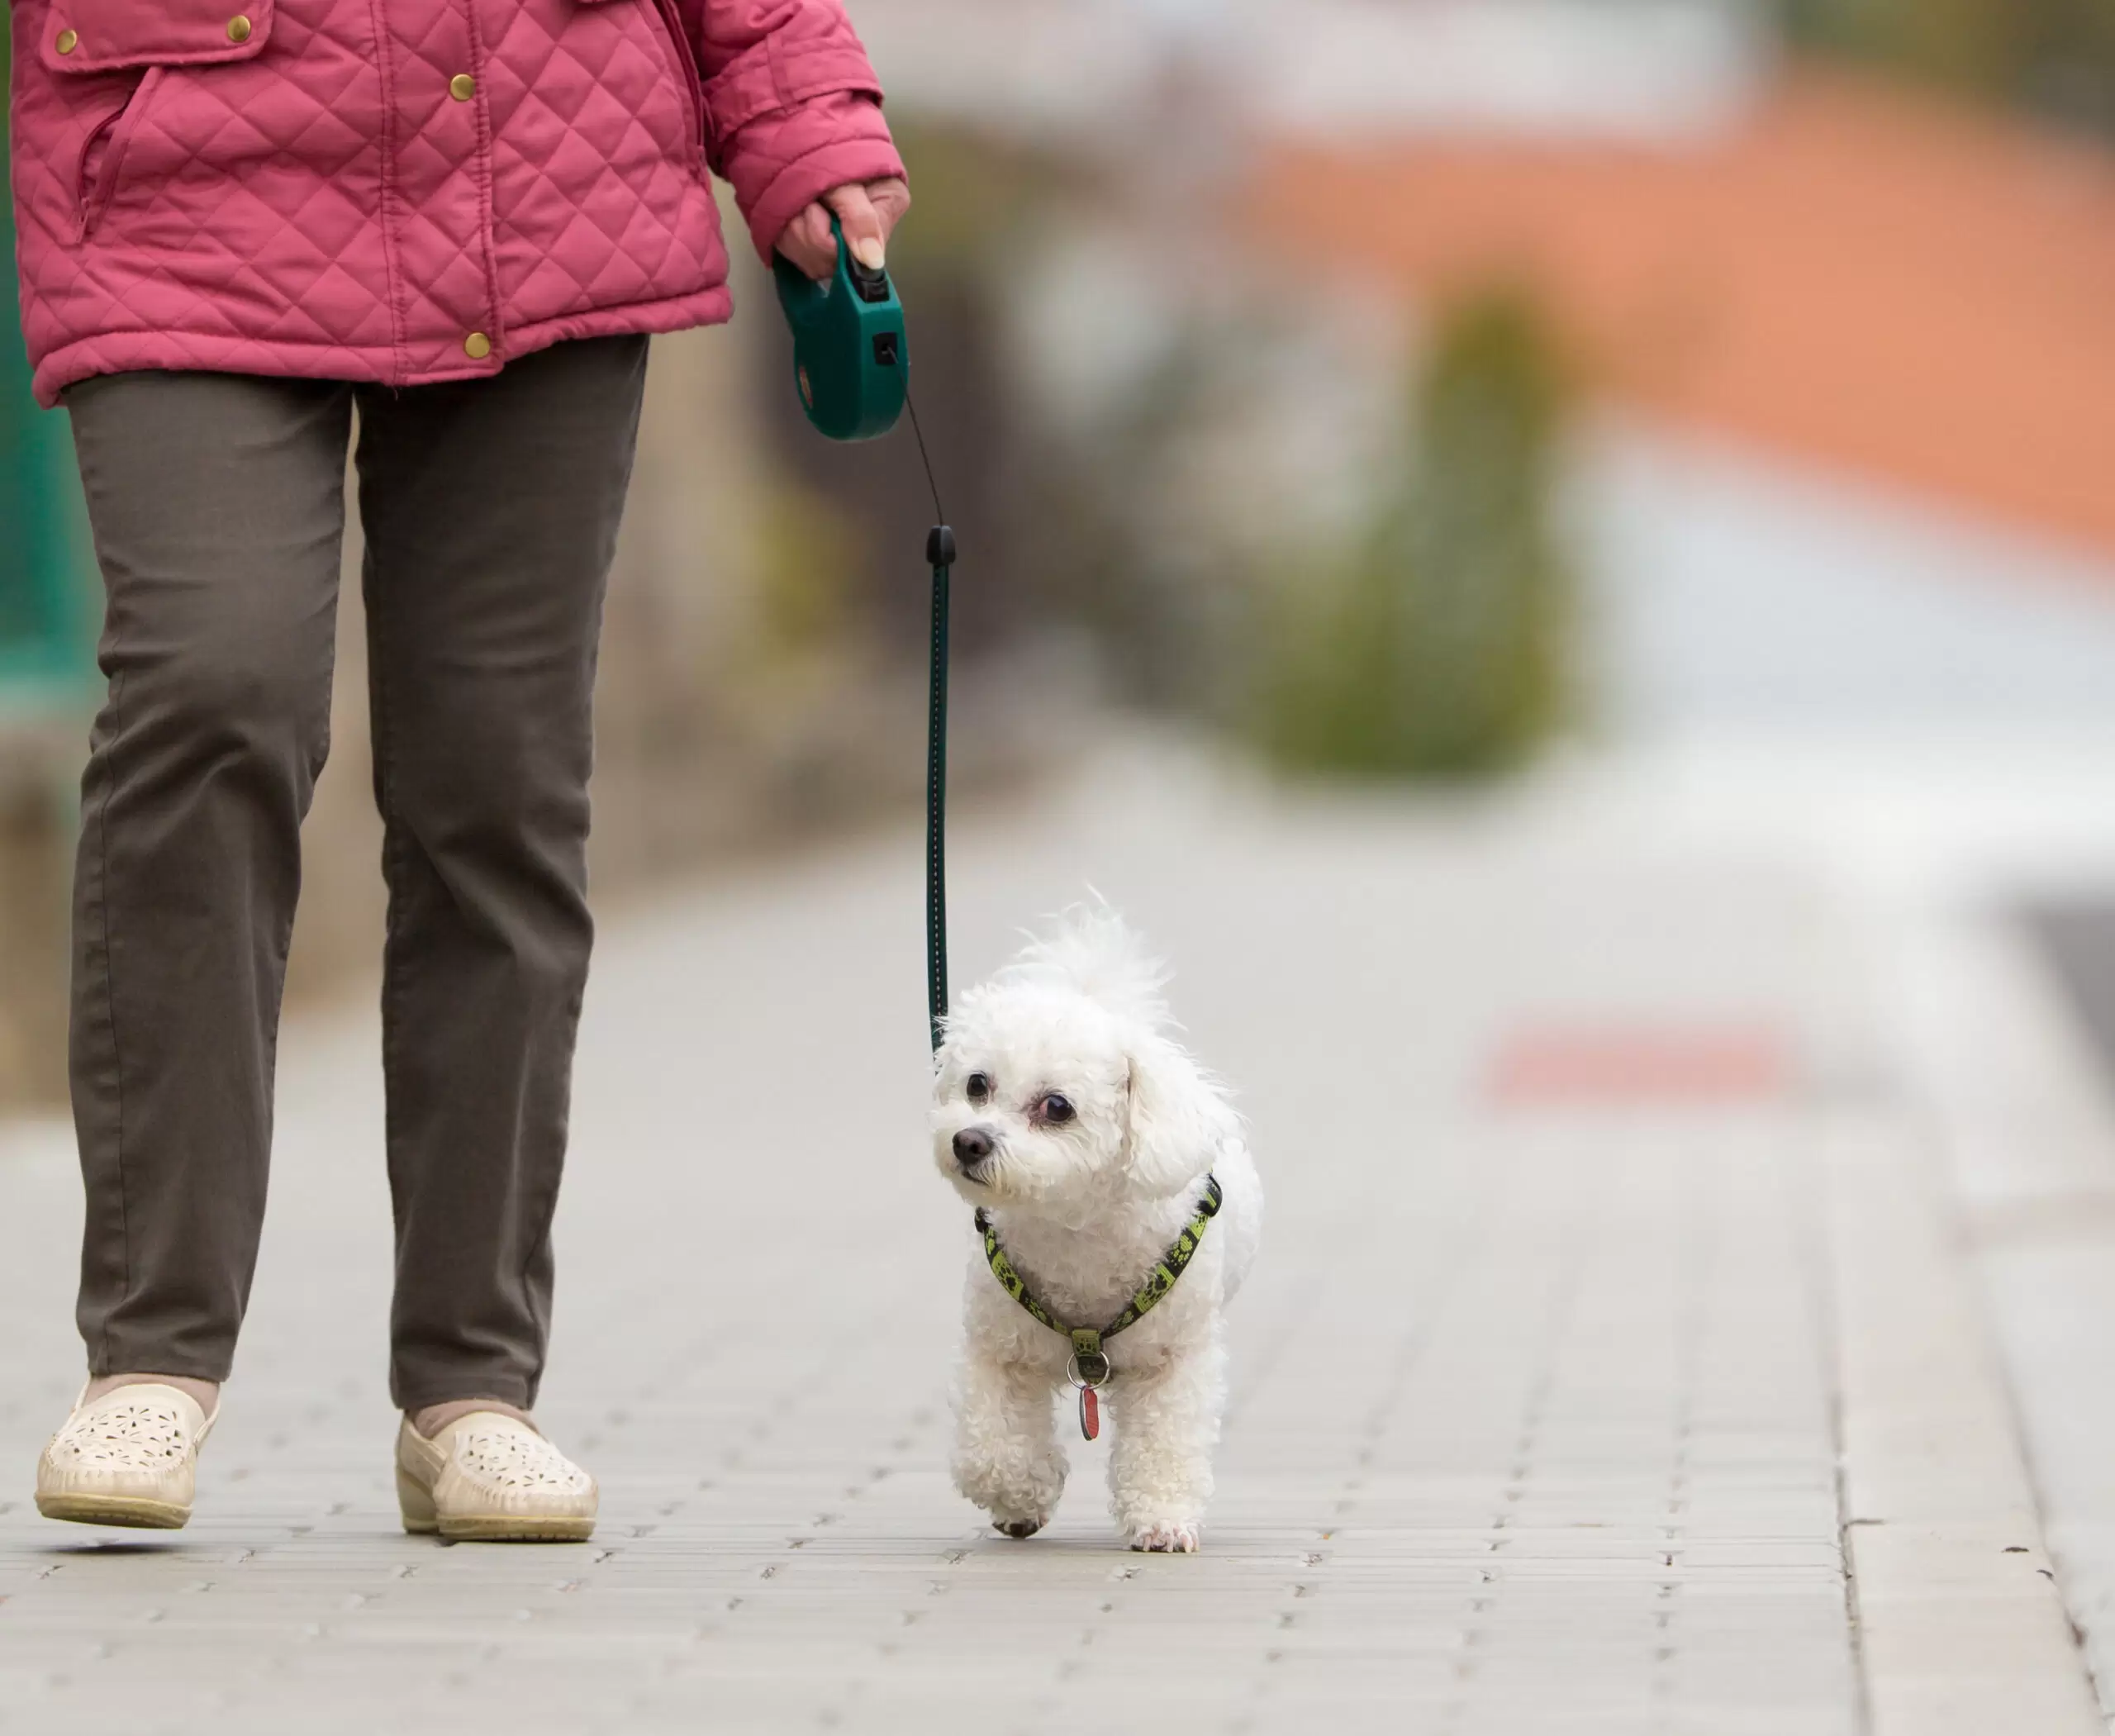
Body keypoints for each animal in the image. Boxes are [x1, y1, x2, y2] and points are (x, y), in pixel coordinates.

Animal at [926, 913, 1252, 1548]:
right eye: (977, 1085)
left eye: (1057, 1106)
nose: (968, 1141)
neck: (1074, 1230)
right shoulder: (997, 1348)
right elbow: (991, 1448)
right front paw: (1021, 1495)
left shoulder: (1172, 1362)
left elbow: (1165, 1444)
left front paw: (1162, 1519)